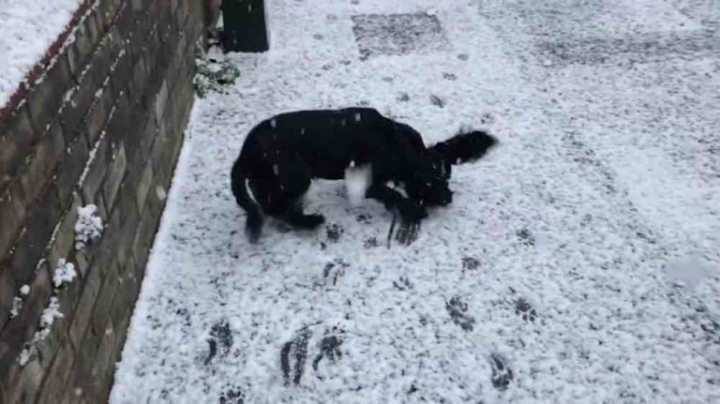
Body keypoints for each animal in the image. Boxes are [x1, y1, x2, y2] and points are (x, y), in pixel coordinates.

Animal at [233, 108, 498, 243]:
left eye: (447, 178)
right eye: (432, 182)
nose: (448, 198)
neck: (396, 143)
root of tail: (244, 154)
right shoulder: (369, 183)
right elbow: (394, 195)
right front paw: (414, 209)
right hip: (294, 177)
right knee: (277, 209)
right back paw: (310, 221)